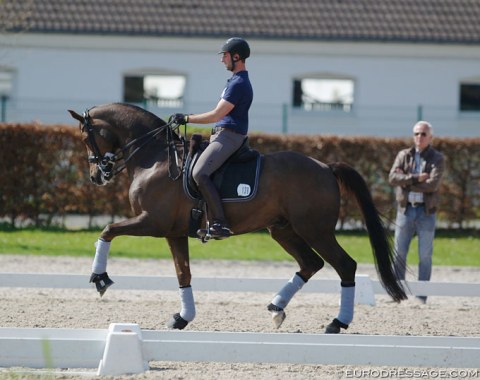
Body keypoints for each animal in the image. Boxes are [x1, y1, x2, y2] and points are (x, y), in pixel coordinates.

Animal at [67, 102, 404, 334]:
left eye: (85, 137)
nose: (97, 175)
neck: (156, 158)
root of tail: (325, 167)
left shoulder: (153, 222)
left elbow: (108, 230)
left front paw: (100, 277)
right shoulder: (173, 232)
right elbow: (183, 273)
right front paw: (182, 318)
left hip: (315, 230)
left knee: (344, 265)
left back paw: (337, 322)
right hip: (283, 230)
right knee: (311, 263)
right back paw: (277, 307)